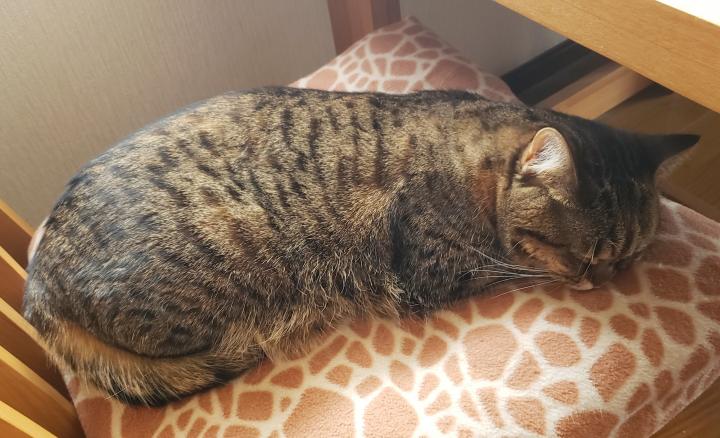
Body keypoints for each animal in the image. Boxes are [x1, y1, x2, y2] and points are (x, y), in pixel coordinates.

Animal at [23, 87, 698, 406]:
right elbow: (509, 268)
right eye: (585, 256)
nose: (601, 280)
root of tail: (38, 286)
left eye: (626, 258)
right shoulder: (437, 269)